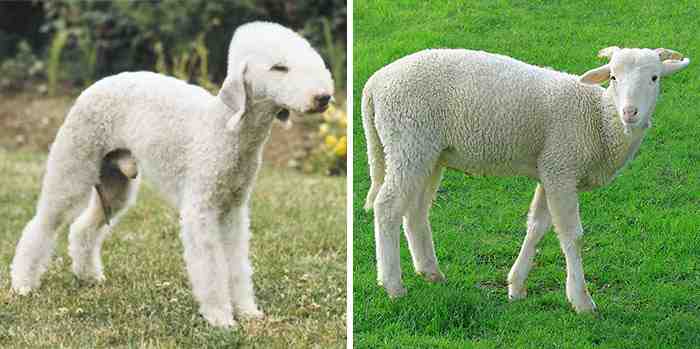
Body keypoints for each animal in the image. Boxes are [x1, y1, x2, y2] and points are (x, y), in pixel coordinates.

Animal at [10, 21, 334, 326]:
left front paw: (247, 311)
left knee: (82, 228)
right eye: (279, 67)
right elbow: (211, 267)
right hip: (73, 167)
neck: (226, 129)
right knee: (42, 225)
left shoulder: (233, 209)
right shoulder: (201, 209)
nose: (324, 97)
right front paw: (220, 317)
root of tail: (96, 84)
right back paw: (22, 284)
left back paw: (88, 276)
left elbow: (236, 264)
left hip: (116, 184)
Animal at [364, 45, 692, 310]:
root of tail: (375, 83)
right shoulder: (562, 167)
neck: (600, 119)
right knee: (388, 207)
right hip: (408, 141)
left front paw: (516, 286)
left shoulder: (551, 169)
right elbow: (572, 235)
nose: (630, 112)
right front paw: (581, 300)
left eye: (655, 78)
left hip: (429, 153)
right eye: (612, 77)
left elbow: (537, 226)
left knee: (415, 211)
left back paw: (430, 271)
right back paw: (393, 285)